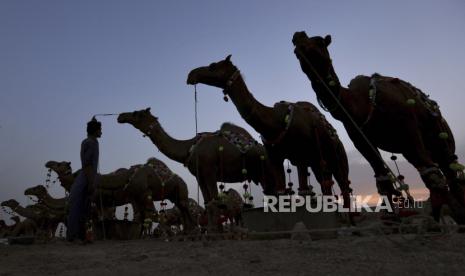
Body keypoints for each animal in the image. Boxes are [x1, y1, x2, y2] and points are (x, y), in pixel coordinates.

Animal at [118, 108, 280, 229]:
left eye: (137, 113)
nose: (121, 116)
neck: (189, 148)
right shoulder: (199, 175)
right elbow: (208, 202)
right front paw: (213, 230)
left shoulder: (209, 170)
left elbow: (215, 200)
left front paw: (217, 232)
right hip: (261, 173)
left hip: (267, 166)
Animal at [188, 55, 352, 203]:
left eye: (213, 66)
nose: (191, 75)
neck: (274, 122)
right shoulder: (274, 157)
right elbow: (281, 192)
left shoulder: (300, 154)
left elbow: (304, 191)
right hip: (318, 161)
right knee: (326, 184)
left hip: (335, 154)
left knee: (343, 184)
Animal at [294, 31, 464, 223]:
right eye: (296, 47)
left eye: (320, 42)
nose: (299, 37)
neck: (362, 103)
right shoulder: (361, 139)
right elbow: (382, 177)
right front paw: (390, 218)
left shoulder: (408, 126)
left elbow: (431, 173)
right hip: (411, 147)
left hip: (439, 137)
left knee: (449, 172)